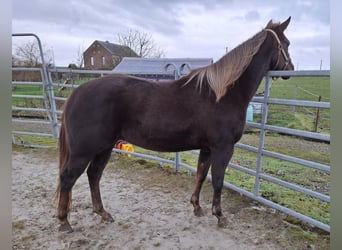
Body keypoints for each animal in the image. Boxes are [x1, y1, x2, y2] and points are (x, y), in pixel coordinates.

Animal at [55, 17, 294, 232]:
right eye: (287, 43)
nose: (290, 69)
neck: (222, 94)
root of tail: (76, 93)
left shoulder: (207, 148)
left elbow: (201, 175)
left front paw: (197, 207)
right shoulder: (223, 148)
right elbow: (218, 180)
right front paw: (219, 216)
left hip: (104, 148)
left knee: (94, 175)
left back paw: (103, 213)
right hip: (84, 151)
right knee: (68, 178)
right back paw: (64, 222)